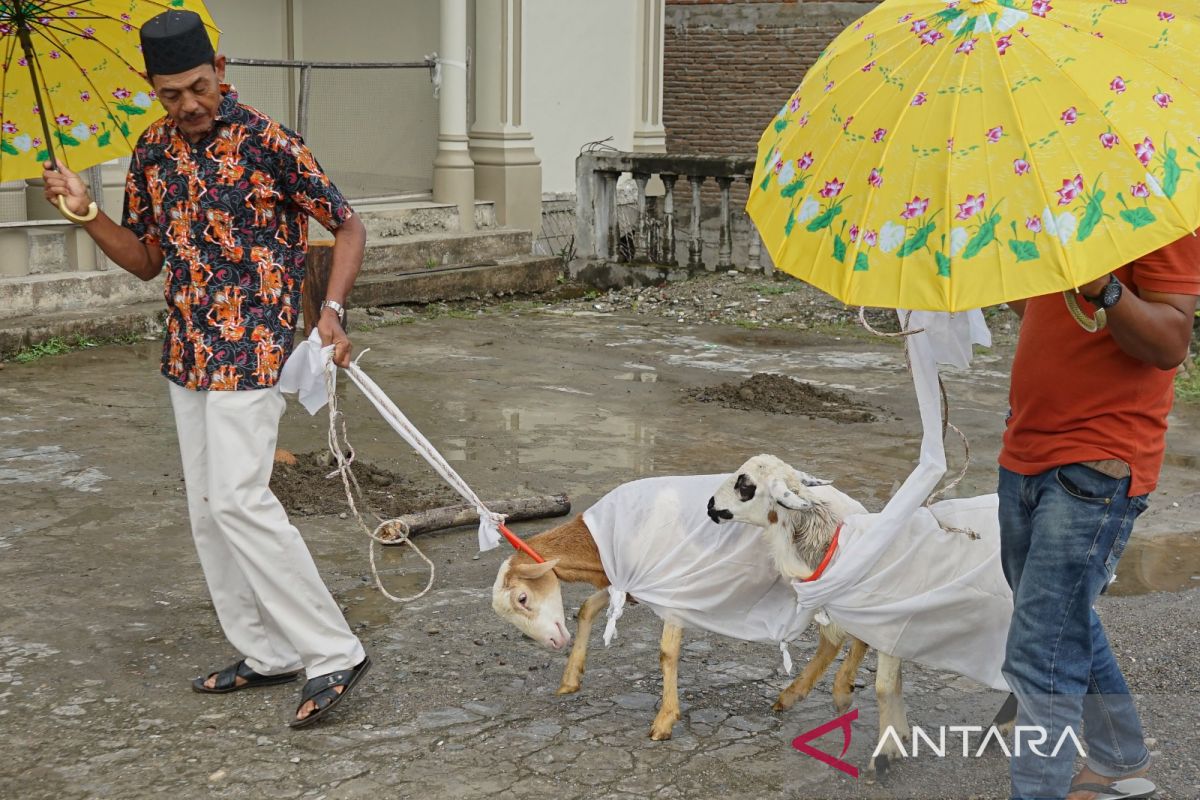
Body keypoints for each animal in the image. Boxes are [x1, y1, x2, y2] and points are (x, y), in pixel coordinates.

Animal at [487, 489, 873, 743]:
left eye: (522, 597)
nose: (555, 642)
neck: (601, 541)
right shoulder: (628, 582)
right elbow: (586, 610)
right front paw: (570, 678)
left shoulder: (673, 588)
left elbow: (667, 652)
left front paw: (664, 721)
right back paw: (810, 692)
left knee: (847, 631)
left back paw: (832, 690)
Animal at [705, 455, 1017, 777]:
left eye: (745, 485)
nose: (710, 505)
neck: (835, 549)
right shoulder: (886, 631)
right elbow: (894, 681)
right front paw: (899, 735)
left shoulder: (890, 625)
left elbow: (883, 687)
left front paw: (883, 754)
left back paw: (998, 729)